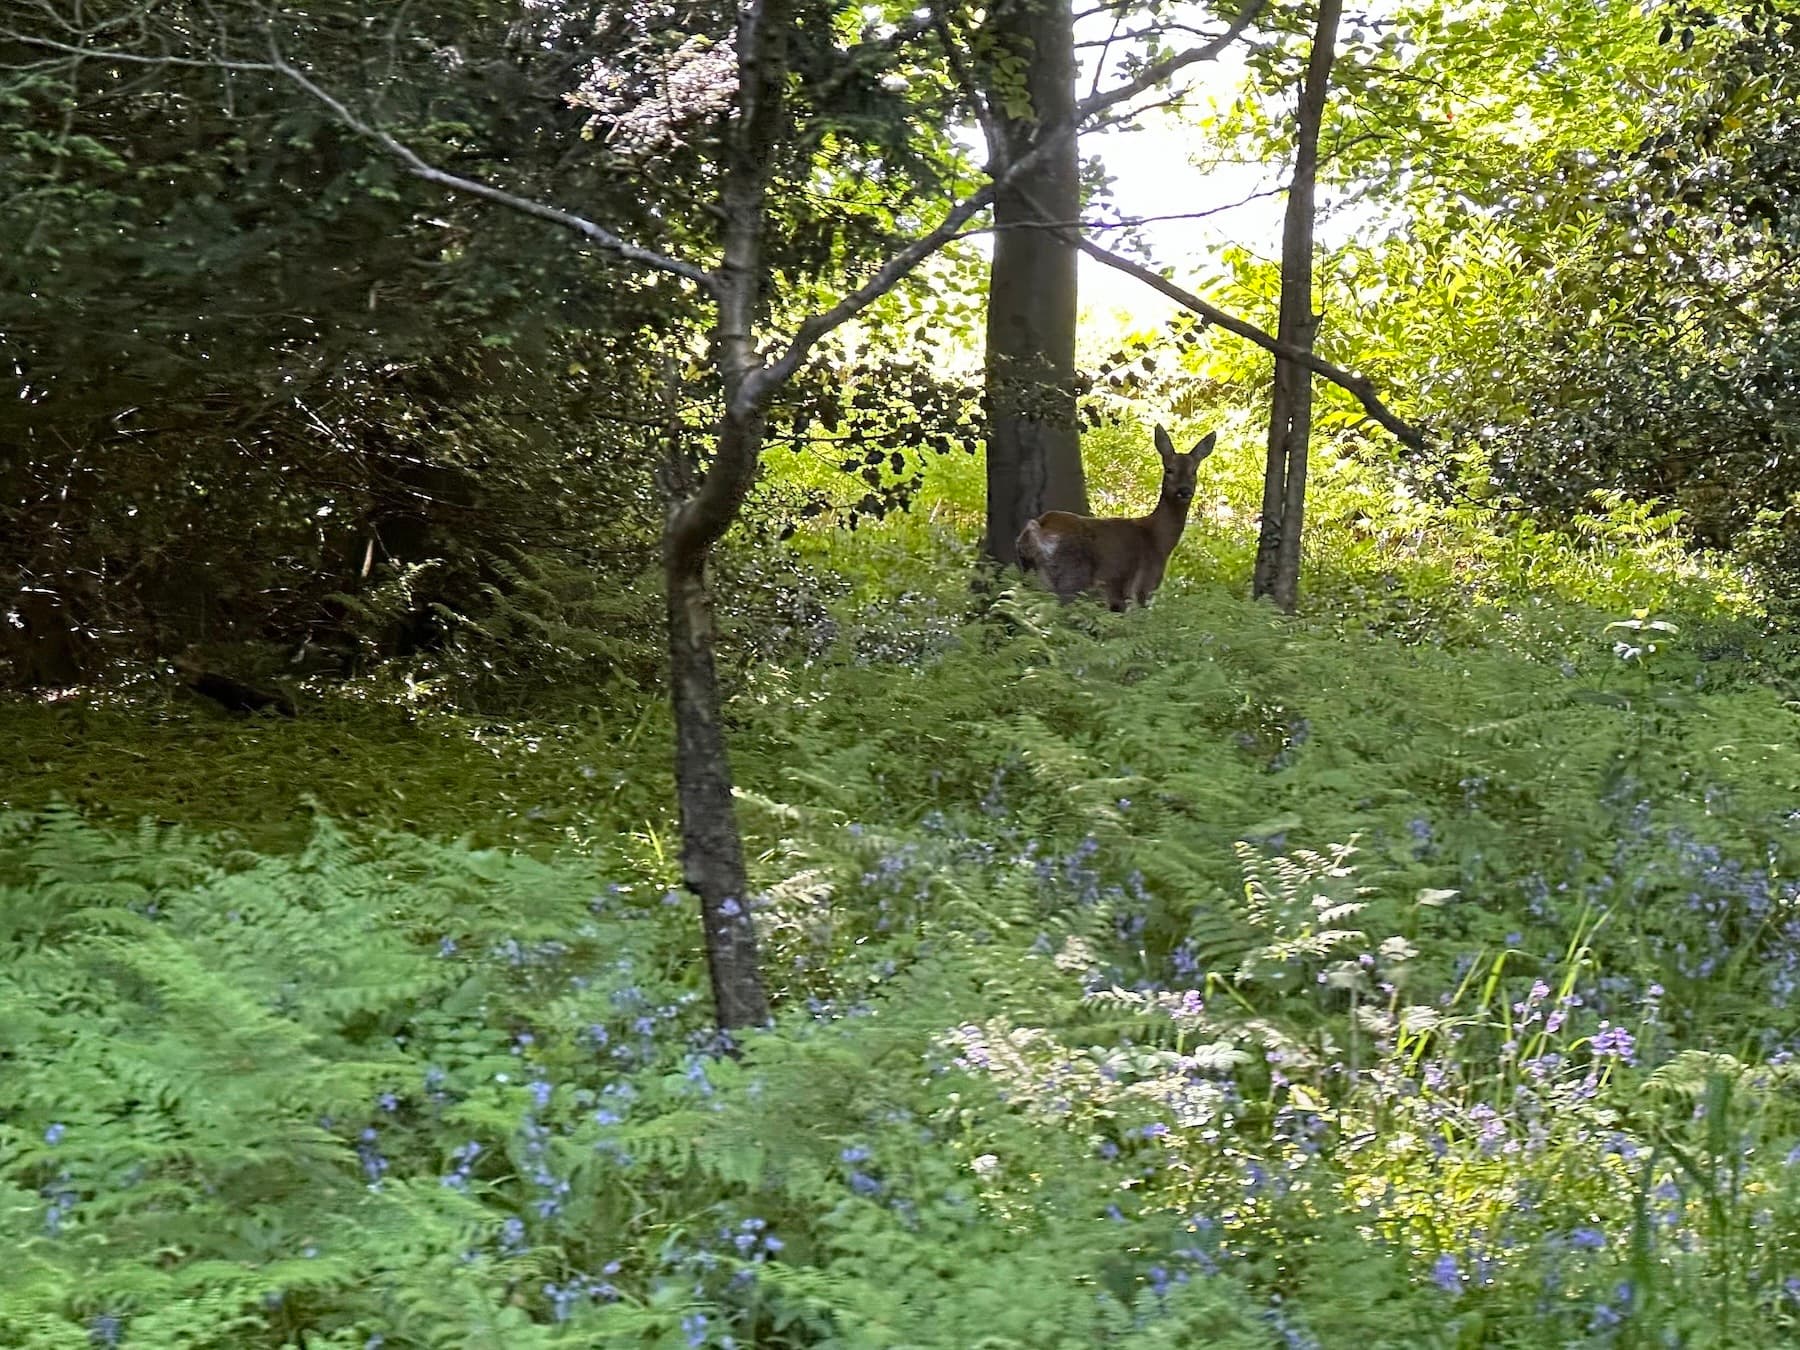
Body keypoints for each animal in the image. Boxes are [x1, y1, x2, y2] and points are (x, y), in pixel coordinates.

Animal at [1015, 425, 1217, 611]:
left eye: (1194, 471)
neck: (1158, 540)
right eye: (1169, 469)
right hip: (1071, 577)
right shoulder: (1142, 588)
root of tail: (1036, 530)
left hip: (1033, 576)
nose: (1184, 491)